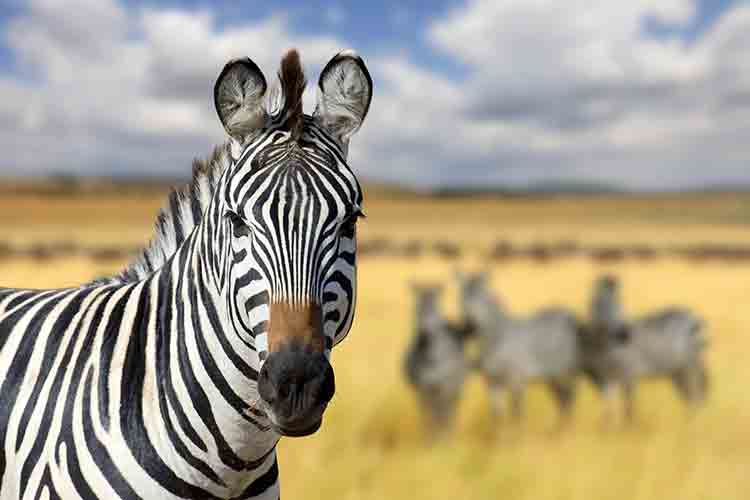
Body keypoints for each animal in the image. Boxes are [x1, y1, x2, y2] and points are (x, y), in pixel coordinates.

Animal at [406, 284, 470, 440]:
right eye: (416, 309)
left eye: (435, 309)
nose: (424, 331)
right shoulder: (424, 389)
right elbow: (429, 416)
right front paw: (430, 438)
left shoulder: (444, 387)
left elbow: (442, 414)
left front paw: (442, 438)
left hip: (456, 388)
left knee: (450, 411)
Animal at [458, 272, 580, 424]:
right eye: (461, 298)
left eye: (481, 298)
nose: (469, 326)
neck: (496, 338)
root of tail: (568, 313)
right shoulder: (492, 383)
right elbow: (497, 416)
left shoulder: (516, 380)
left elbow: (516, 415)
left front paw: (515, 430)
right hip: (551, 375)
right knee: (563, 400)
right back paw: (557, 428)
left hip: (565, 371)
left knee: (570, 397)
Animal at [580, 276, 712, 424]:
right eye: (596, 302)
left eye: (621, 301)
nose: (625, 333)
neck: (605, 346)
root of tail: (692, 314)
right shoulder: (606, 379)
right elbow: (608, 410)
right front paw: (608, 426)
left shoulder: (629, 374)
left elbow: (629, 409)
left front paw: (628, 427)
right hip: (676, 370)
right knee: (690, 397)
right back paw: (688, 422)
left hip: (690, 365)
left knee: (697, 395)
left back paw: (695, 423)